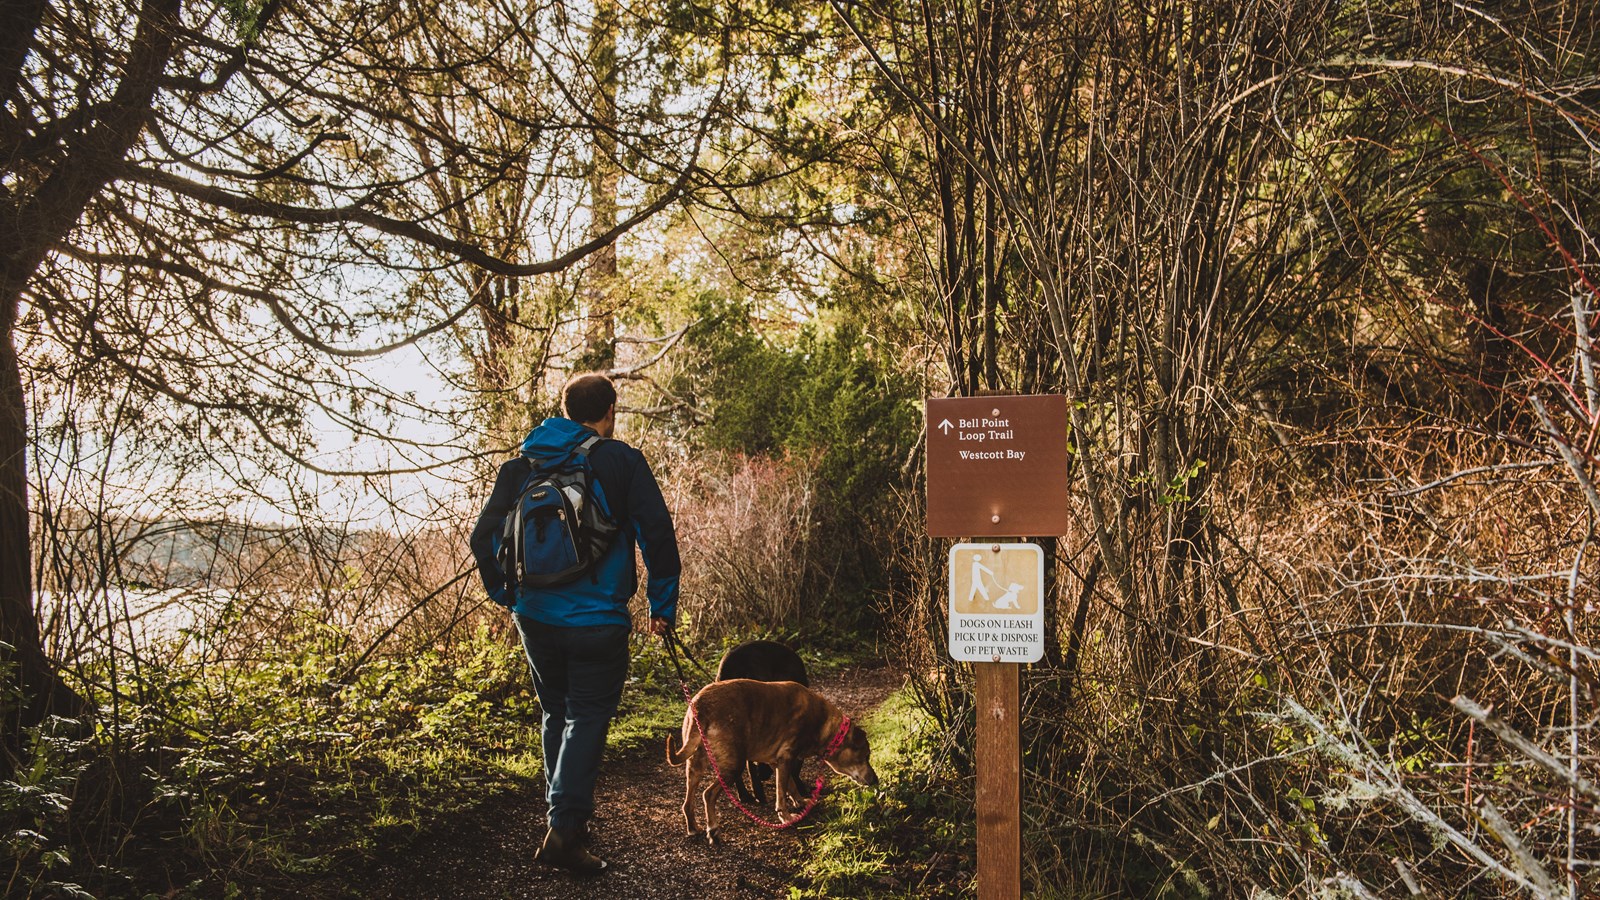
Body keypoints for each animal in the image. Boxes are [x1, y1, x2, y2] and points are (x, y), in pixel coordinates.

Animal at [668, 679, 883, 839]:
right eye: (866, 756)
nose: (875, 780)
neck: (823, 725)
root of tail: (700, 705)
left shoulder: (776, 761)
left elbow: (791, 786)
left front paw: (800, 802)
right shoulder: (786, 758)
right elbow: (782, 793)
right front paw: (786, 817)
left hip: (695, 763)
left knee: (688, 800)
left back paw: (693, 827)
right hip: (733, 765)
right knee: (708, 794)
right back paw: (712, 829)